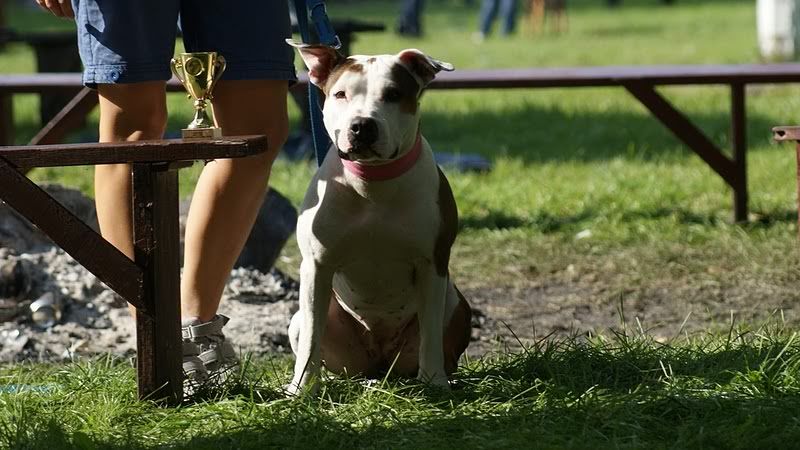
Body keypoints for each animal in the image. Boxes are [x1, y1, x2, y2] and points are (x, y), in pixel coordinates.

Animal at [285, 40, 473, 395]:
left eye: (394, 94)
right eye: (340, 94)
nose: (362, 126)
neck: (372, 182)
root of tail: (381, 361)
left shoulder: (431, 264)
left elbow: (430, 335)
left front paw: (435, 382)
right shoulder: (316, 267)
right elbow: (312, 337)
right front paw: (301, 388)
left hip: (456, 306)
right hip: (303, 324)